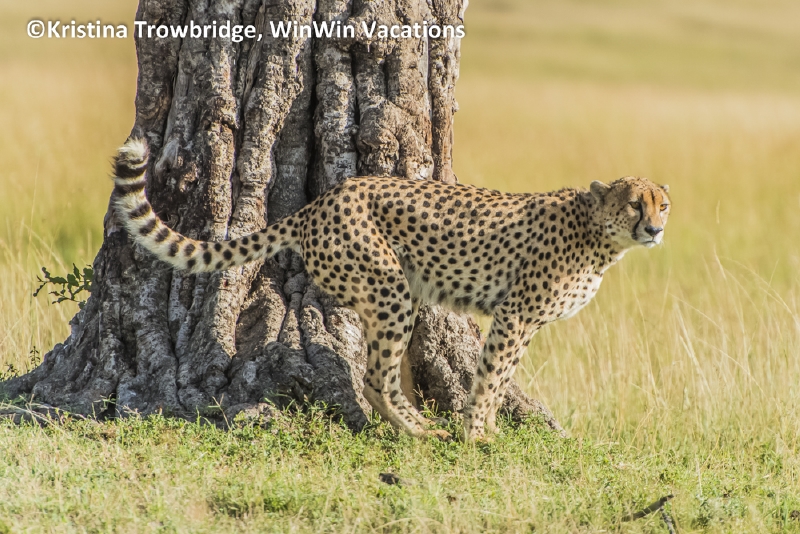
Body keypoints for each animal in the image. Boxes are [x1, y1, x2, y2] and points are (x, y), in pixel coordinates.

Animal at [111, 138, 671, 441]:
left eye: (661, 204)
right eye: (634, 203)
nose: (656, 230)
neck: (599, 236)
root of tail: (323, 200)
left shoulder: (525, 321)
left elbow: (501, 377)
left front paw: (487, 429)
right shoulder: (514, 315)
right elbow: (490, 377)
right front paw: (477, 437)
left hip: (404, 291)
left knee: (383, 374)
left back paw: (416, 425)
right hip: (390, 289)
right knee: (376, 377)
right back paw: (418, 431)